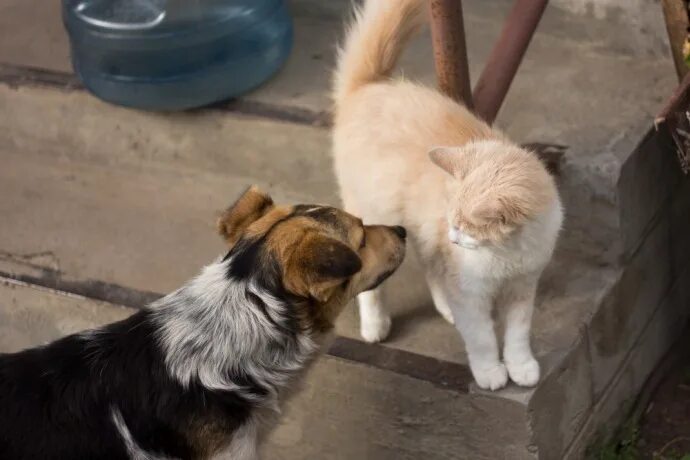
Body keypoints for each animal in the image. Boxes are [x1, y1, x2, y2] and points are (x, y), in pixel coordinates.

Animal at [330, 0, 560, 390]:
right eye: (456, 221)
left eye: (466, 226)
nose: (453, 236)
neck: (509, 253)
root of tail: (369, 86)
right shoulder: (471, 293)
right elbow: (482, 338)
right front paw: (491, 372)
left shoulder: (523, 289)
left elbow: (516, 335)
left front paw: (521, 366)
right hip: (377, 215)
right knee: (373, 284)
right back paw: (375, 325)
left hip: (423, 233)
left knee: (431, 269)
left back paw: (444, 309)